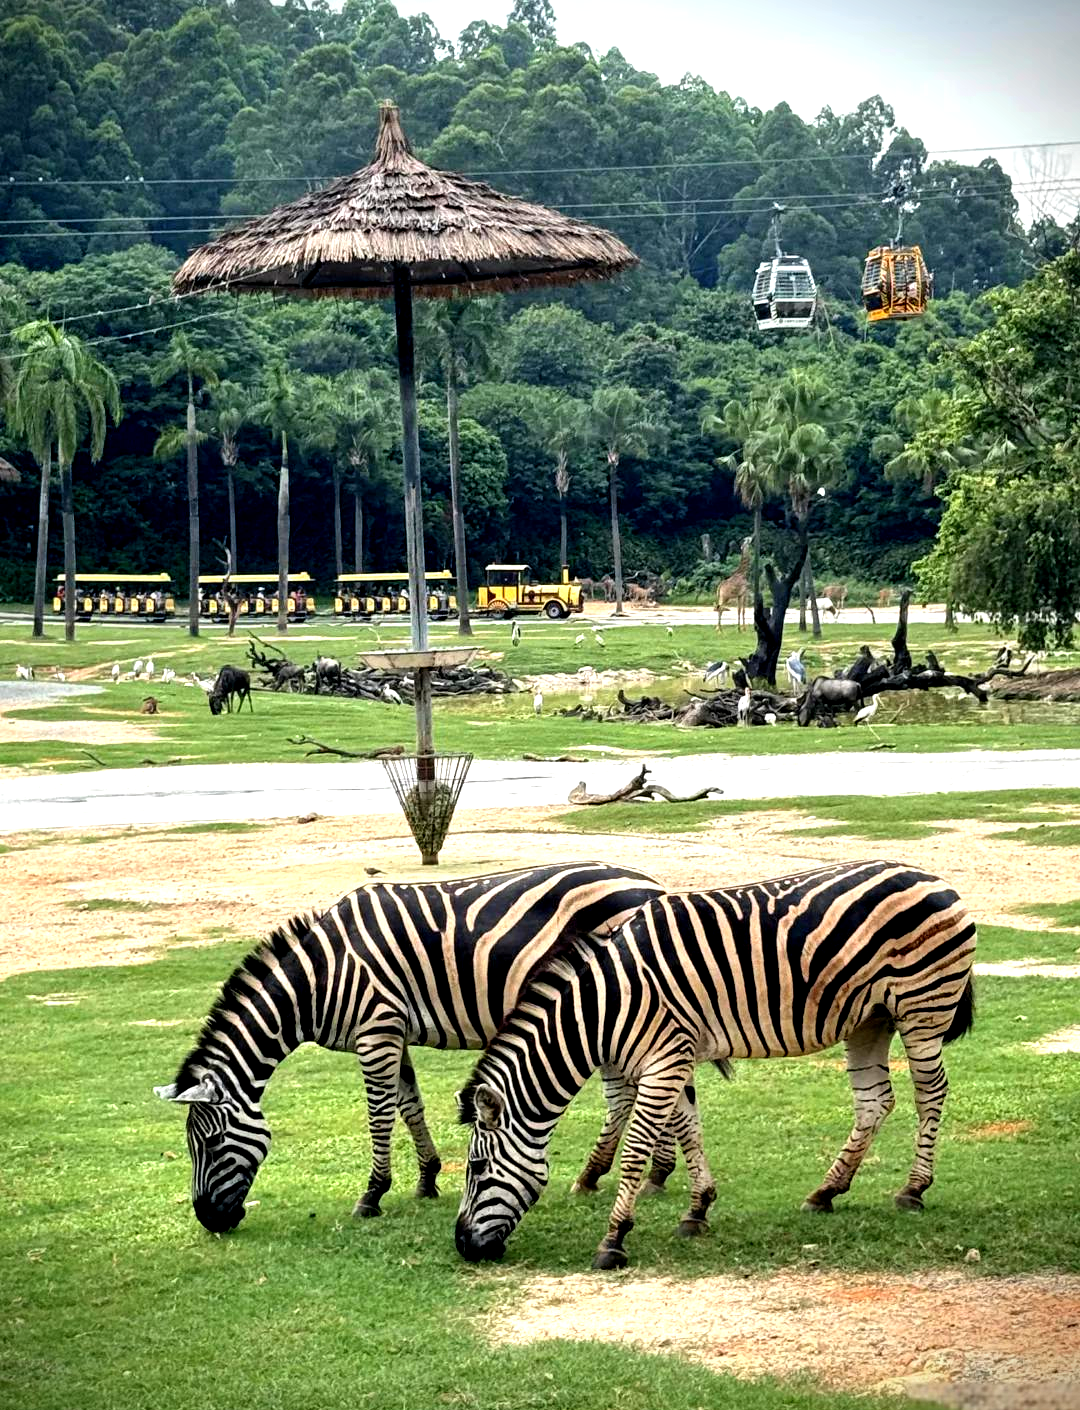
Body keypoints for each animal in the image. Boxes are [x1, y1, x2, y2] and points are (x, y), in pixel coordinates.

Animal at [150, 857, 659, 1235]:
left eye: (212, 1142)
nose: (210, 1221)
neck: (321, 977)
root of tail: (649, 882)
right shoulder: (393, 1031)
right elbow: (409, 1104)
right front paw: (427, 1178)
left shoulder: (376, 1030)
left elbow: (379, 1115)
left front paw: (372, 1194)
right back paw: (625, 1174)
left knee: (630, 1094)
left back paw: (615, 1174)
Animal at [456, 851, 981, 1274]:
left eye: (477, 1168)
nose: (462, 1247)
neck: (606, 1001)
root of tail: (932, 877)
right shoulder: (670, 1055)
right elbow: (689, 1129)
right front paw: (697, 1210)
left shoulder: (664, 1060)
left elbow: (635, 1152)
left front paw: (613, 1239)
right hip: (871, 1017)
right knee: (875, 1102)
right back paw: (826, 1192)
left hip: (923, 1007)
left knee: (930, 1093)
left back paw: (913, 1189)